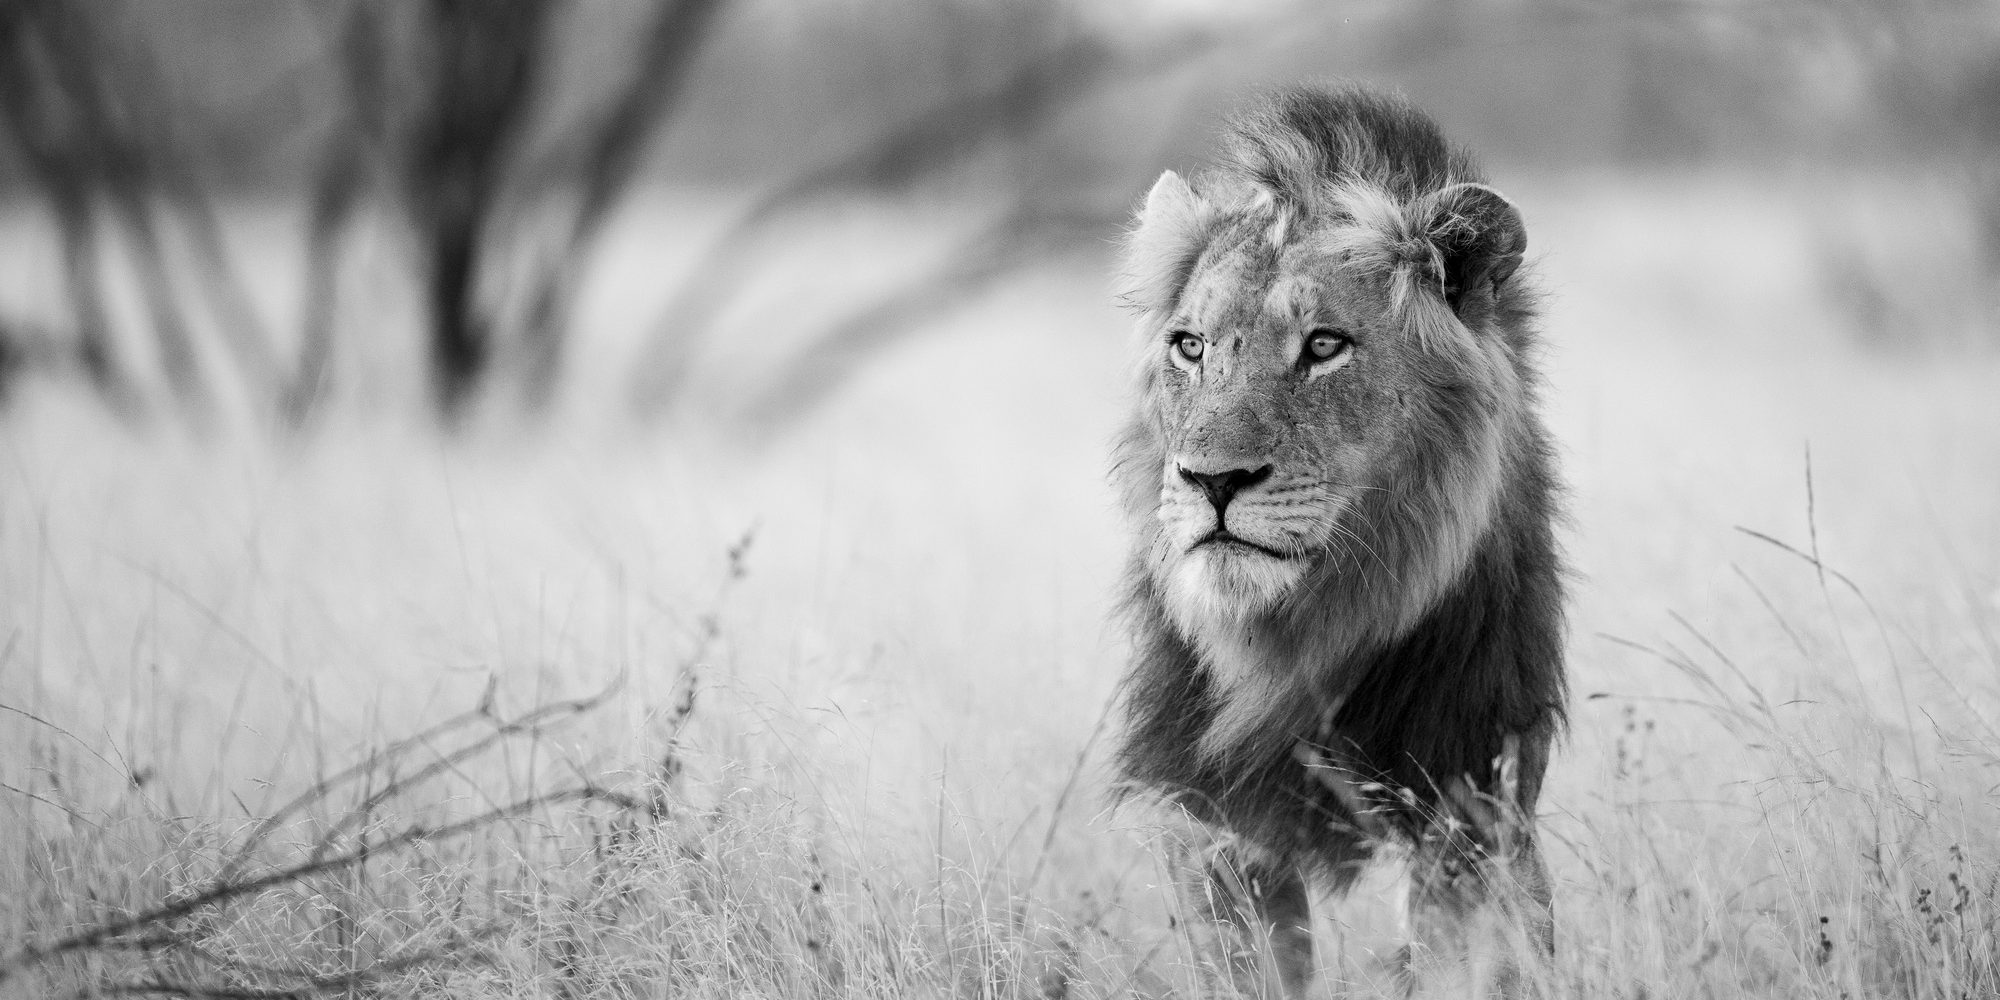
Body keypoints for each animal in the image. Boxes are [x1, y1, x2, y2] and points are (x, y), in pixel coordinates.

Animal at [1110, 84, 1566, 998]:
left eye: (1324, 345)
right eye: (1190, 346)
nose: (1212, 481)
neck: (1292, 644)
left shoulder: (1470, 808)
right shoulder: (1208, 823)